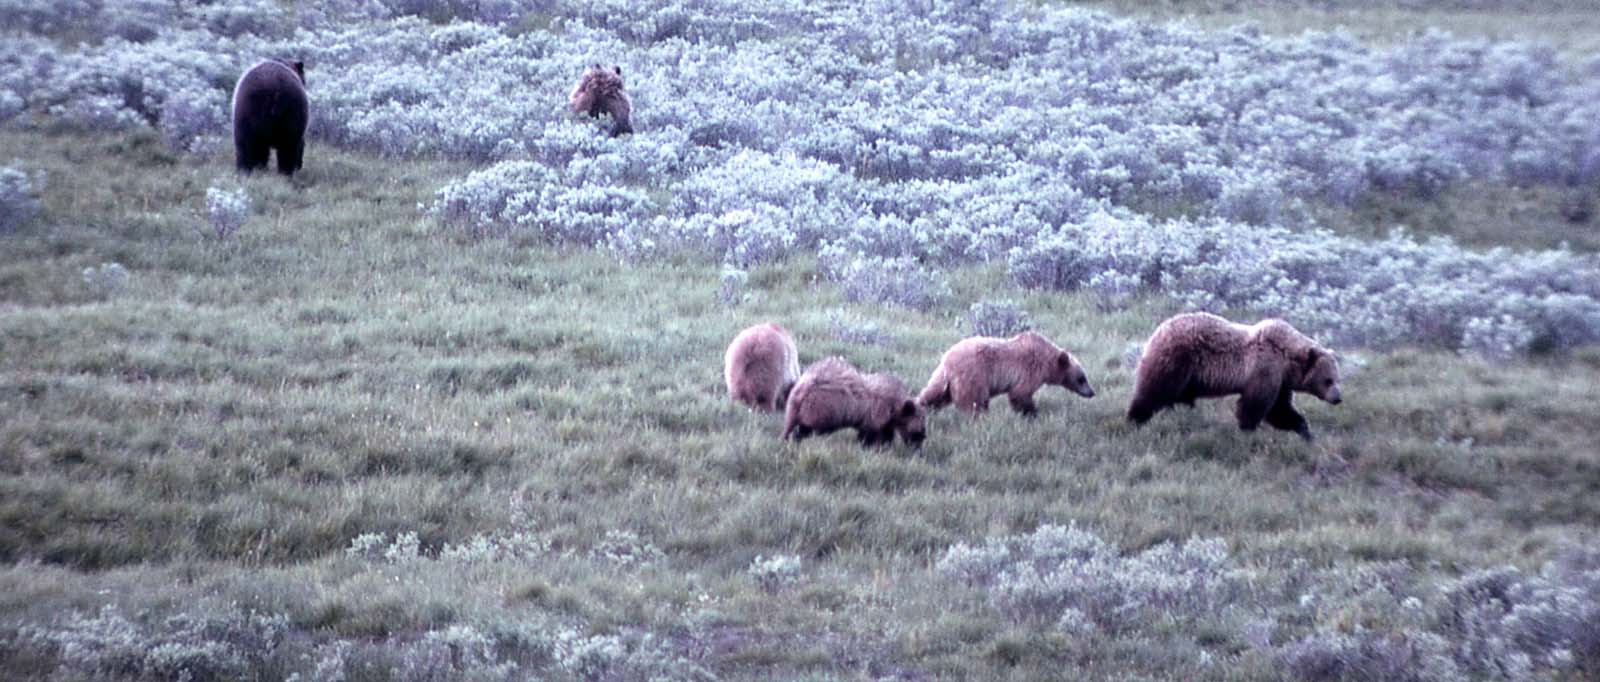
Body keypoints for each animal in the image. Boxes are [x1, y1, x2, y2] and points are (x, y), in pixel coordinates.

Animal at [777, 357, 928, 448]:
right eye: (919, 429)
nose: (919, 448)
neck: (894, 408)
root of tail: (801, 390)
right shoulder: (876, 414)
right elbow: (872, 434)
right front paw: (872, 447)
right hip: (819, 408)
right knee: (806, 429)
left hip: (797, 406)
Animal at [921, 329, 1094, 416]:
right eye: (1081, 378)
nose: (1092, 392)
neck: (1047, 362)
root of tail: (948, 359)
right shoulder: (1029, 371)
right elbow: (1020, 394)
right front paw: (1032, 412)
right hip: (973, 375)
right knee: (975, 401)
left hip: (942, 377)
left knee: (934, 394)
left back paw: (923, 408)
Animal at [1126, 312, 1350, 438]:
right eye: (1328, 380)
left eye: (1338, 379)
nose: (1338, 398)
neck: (1286, 361)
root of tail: (1158, 331)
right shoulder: (1264, 370)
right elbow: (1256, 406)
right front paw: (1247, 431)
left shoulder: (1280, 382)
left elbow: (1281, 409)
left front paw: (1305, 430)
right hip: (1176, 360)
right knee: (1154, 391)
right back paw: (1135, 420)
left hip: (1187, 376)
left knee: (1178, 397)